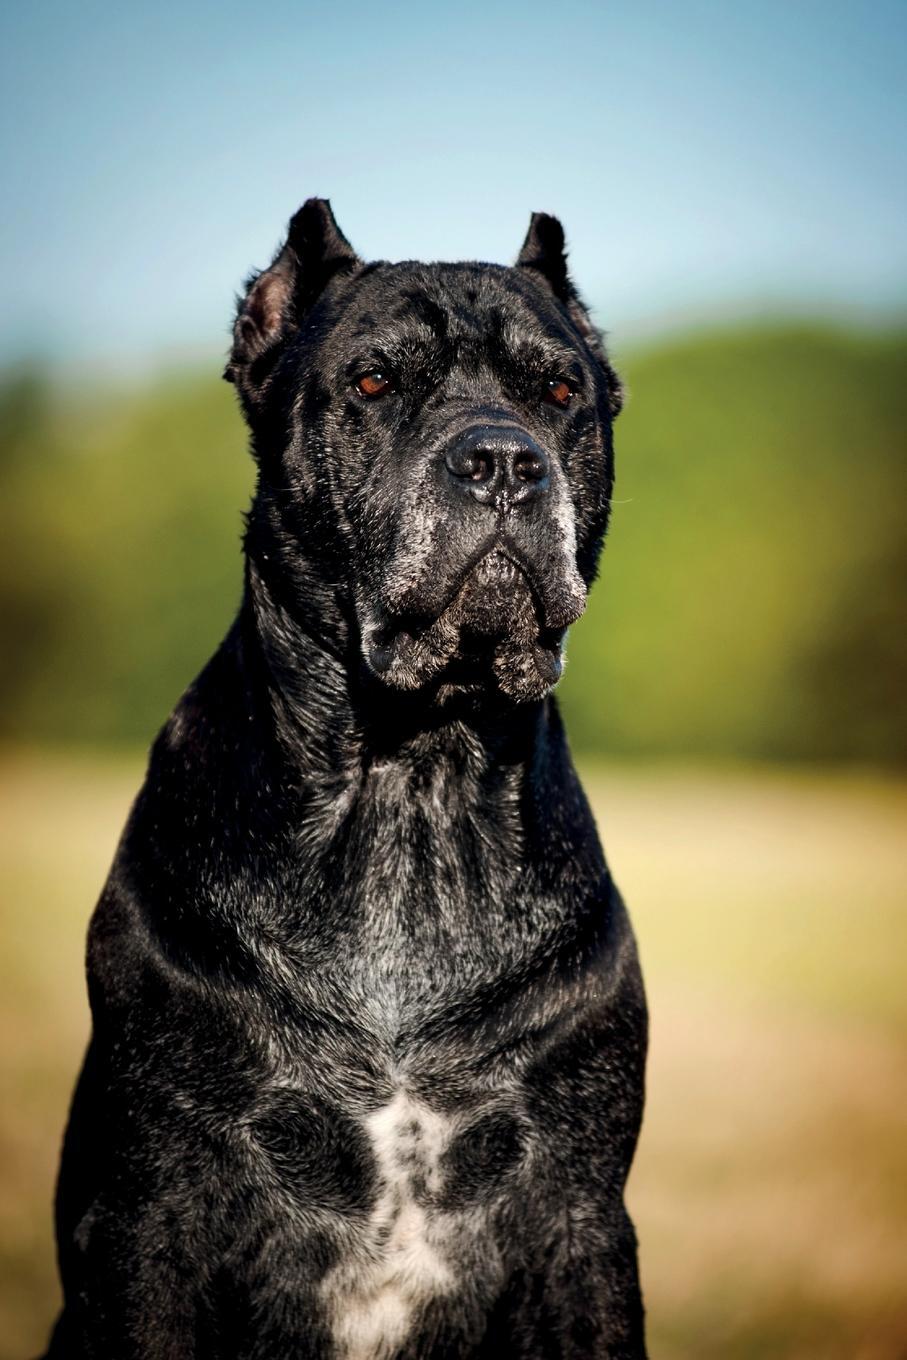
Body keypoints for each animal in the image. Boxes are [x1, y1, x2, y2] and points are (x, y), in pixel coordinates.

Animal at [46, 197, 649, 1354]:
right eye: (372, 382)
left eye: (559, 393)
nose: (503, 461)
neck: (414, 777)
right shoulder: (153, 1215)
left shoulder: (579, 1221)